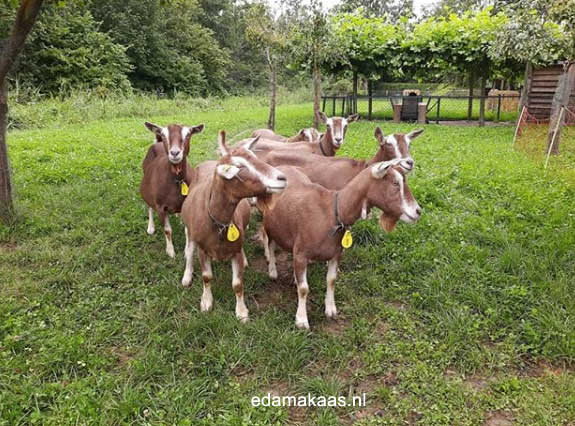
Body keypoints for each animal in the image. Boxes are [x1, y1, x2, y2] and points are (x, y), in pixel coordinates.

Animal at [140, 122, 204, 258]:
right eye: (164, 135)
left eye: (188, 134)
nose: (175, 153)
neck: (178, 181)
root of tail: (157, 143)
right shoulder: (160, 206)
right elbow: (167, 230)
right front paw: (170, 251)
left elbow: (187, 230)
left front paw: (187, 251)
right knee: (149, 206)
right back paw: (151, 227)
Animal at [180, 131, 287, 322]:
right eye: (238, 166)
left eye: (255, 157)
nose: (281, 178)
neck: (219, 224)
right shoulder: (202, 249)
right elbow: (206, 277)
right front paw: (206, 302)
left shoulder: (235, 250)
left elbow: (237, 284)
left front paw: (242, 312)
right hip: (190, 231)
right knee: (189, 250)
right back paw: (186, 276)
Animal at [259, 159, 421, 329]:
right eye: (395, 183)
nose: (418, 211)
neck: (333, 213)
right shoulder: (301, 253)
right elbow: (303, 289)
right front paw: (301, 320)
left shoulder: (336, 254)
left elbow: (331, 280)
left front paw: (330, 309)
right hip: (270, 224)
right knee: (270, 243)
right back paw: (272, 271)